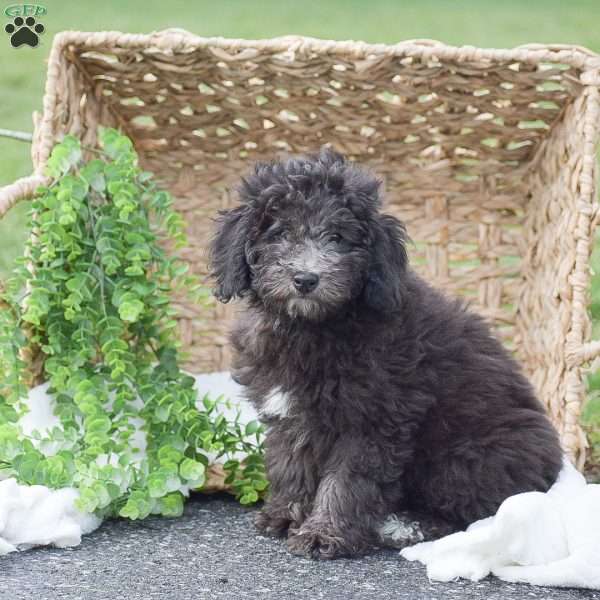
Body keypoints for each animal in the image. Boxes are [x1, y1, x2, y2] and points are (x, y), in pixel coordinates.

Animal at [210, 148, 564, 560]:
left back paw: (403, 527)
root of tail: (551, 468)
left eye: (338, 237)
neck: (315, 325)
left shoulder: (373, 419)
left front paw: (324, 534)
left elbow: (346, 482)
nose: (306, 279)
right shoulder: (289, 415)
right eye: (279, 232)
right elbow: (290, 463)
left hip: (463, 457)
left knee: (473, 514)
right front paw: (284, 515)